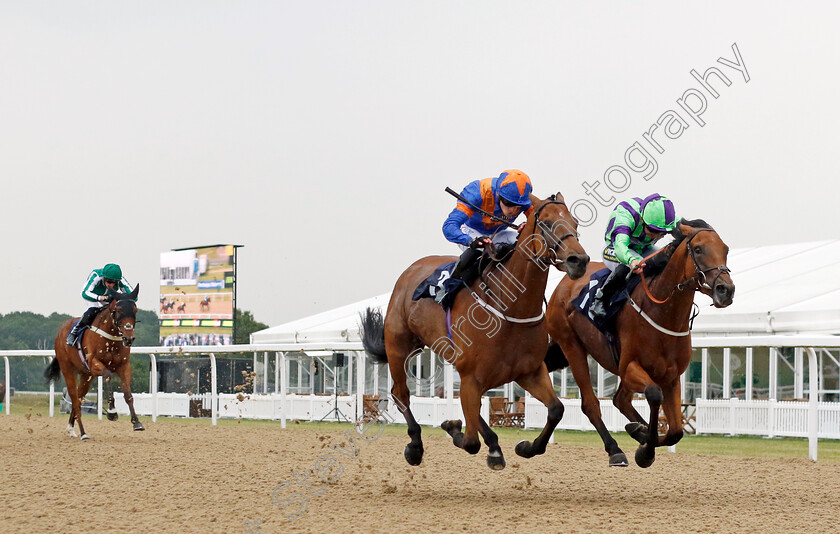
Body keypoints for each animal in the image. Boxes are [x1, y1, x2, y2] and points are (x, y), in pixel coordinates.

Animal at [45, 286, 144, 442]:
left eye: (135, 309)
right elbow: (108, 375)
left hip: (86, 376)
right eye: (117, 310)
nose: (129, 338)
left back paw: (71, 428)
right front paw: (112, 411)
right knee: (75, 399)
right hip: (68, 370)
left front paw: (137, 422)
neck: (111, 338)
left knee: (78, 399)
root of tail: (61, 332)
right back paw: (83, 433)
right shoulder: (94, 363)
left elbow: (128, 394)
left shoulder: (124, 366)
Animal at [360, 195, 592, 472]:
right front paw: (455, 430)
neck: (510, 308)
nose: (579, 260)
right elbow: (470, 441)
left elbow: (556, 409)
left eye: (575, 222)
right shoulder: (471, 376)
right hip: (399, 347)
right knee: (400, 393)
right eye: (546, 223)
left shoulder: (529, 372)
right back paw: (415, 446)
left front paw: (526, 447)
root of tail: (411, 269)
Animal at [548, 221, 732, 468]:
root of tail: (564, 283)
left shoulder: (671, 377)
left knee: (620, 400)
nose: (726, 290)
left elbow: (676, 431)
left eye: (726, 249)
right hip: (571, 346)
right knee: (591, 404)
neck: (663, 313)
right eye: (699, 249)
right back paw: (615, 450)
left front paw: (643, 437)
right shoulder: (630, 368)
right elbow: (654, 395)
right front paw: (645, 448)